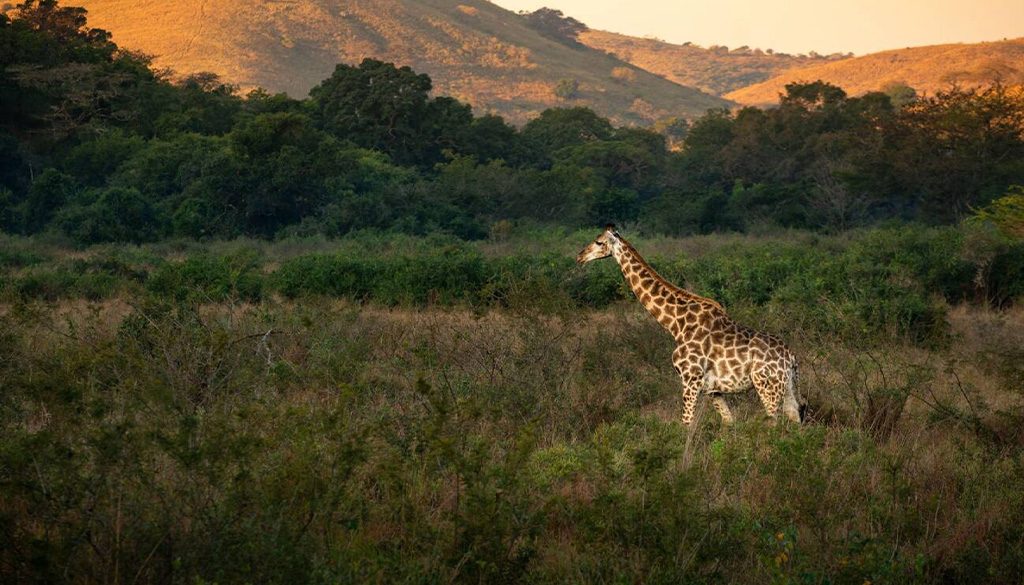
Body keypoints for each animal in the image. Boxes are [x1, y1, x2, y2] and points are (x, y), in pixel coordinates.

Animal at [576, 225, 805, 425]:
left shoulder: (690, 379)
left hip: (766, 386)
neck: (675, 324)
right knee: (795, 419)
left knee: (773, 422)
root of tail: (791, 357)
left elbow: (686, 423)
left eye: (599, 242)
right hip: (785, 387)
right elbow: (729, 422)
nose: (580, 256)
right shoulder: (713, 389)